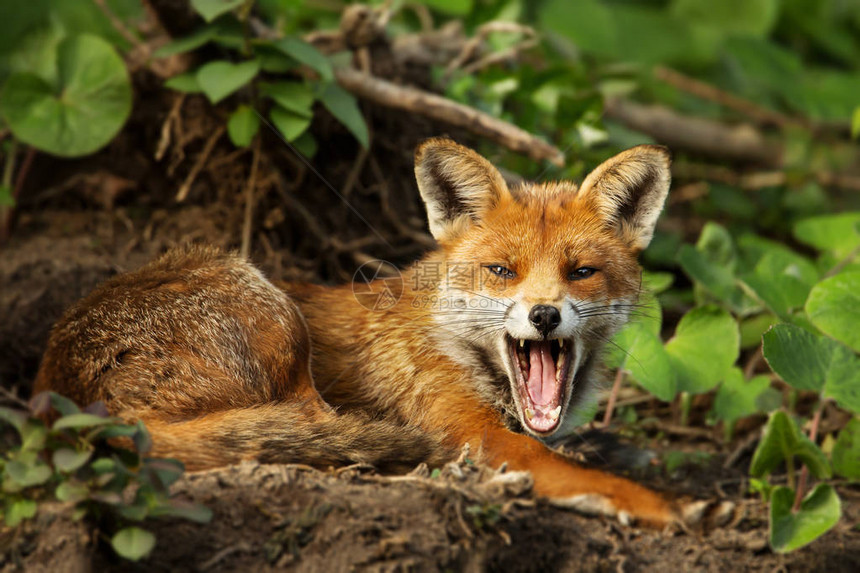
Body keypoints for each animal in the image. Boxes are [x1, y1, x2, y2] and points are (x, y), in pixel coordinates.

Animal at [37, 141, 688, 524]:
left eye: (581, 272)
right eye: (503, 271)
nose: (545, 316)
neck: (454, 346)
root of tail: (62, 394)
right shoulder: (473, 431)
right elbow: (560, 466)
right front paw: (651, 503)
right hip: (273, 313)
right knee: (320, 433)